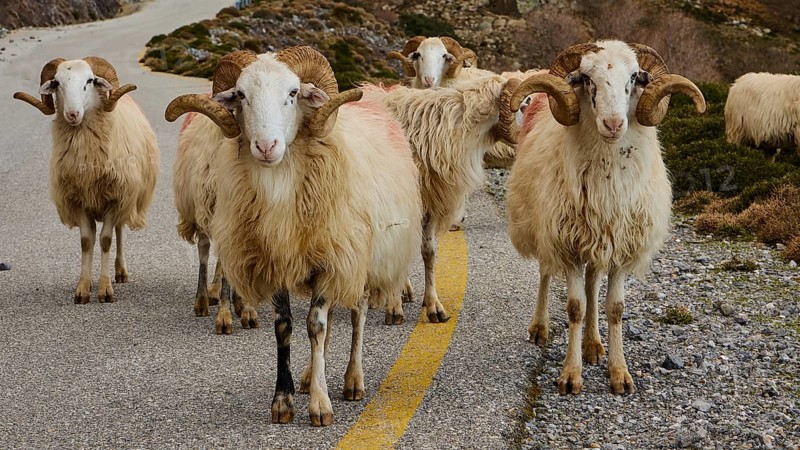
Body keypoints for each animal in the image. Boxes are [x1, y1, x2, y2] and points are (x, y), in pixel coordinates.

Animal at [14, 57, 159, 304]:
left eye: (90, 81)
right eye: (57, 83)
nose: (72, 114)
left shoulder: (115, 198)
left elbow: (106, 240)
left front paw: (105, 290)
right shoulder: (78, 200)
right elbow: (86, 241)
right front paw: (83, 288)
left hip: (127, 195)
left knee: (120, 230)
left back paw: (120, 271)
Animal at [164, 47, 423, 426]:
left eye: (293, 93)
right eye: (241, 95)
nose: (266, 146)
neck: (280, 188)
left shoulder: (332, 259)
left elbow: (315, 325)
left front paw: (320, 404)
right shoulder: (275, 260)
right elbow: (285, 327)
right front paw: (283, 401)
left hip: (363, 256)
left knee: (356, 313)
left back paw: (352, 380)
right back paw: (308, 376)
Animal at [505, 41, 705, 395]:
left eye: (635, 78)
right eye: (586, 79)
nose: (613, 124)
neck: (608, 179)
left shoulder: (621, 247)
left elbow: (614, 308)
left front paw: (619, 372)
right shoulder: (567, 243)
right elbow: (574, 307)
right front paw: (571, 374)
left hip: (599, 240)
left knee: (592, 283)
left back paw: (594, 344)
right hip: (542, 227)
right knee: (546, 273)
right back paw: (540, 327)